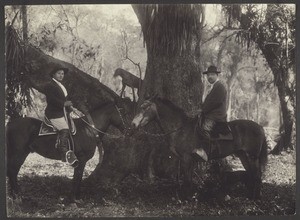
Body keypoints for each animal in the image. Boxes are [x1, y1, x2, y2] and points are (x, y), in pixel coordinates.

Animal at [132, 97, 268, 200]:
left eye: (144, 107)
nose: (133, 124)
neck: (180, 128)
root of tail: (260, 127)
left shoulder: (186, 158)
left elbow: (187, 179)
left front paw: (185, 199)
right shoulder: (190, 160)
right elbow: (189, 178)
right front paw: (190, 196)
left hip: (252, 157)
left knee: (257, 176)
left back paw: (255, 198)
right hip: (243, 156)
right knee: (251, 174)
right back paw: (250, 196)